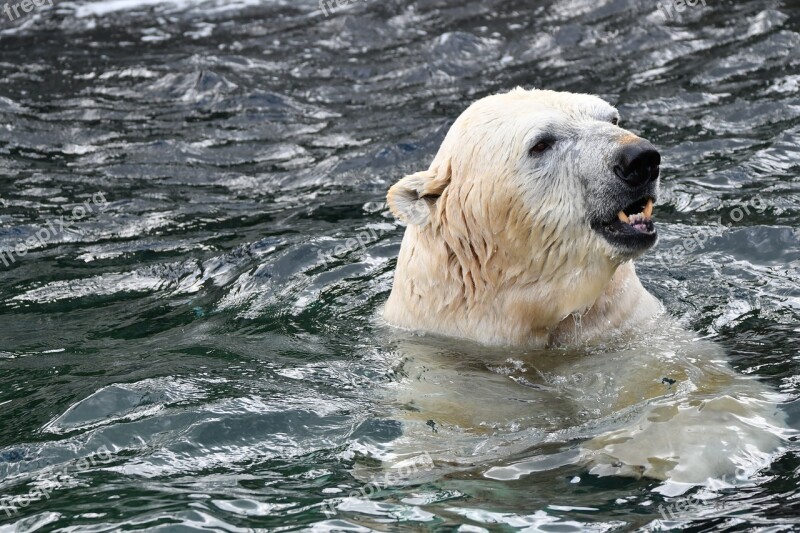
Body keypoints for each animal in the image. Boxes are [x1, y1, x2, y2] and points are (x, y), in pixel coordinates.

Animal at [374, 88, 788, 494]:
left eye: (612, 117)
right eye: (541, 143)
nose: (640, 159)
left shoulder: (616, 323)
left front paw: (644, 448)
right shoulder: (449, 360)